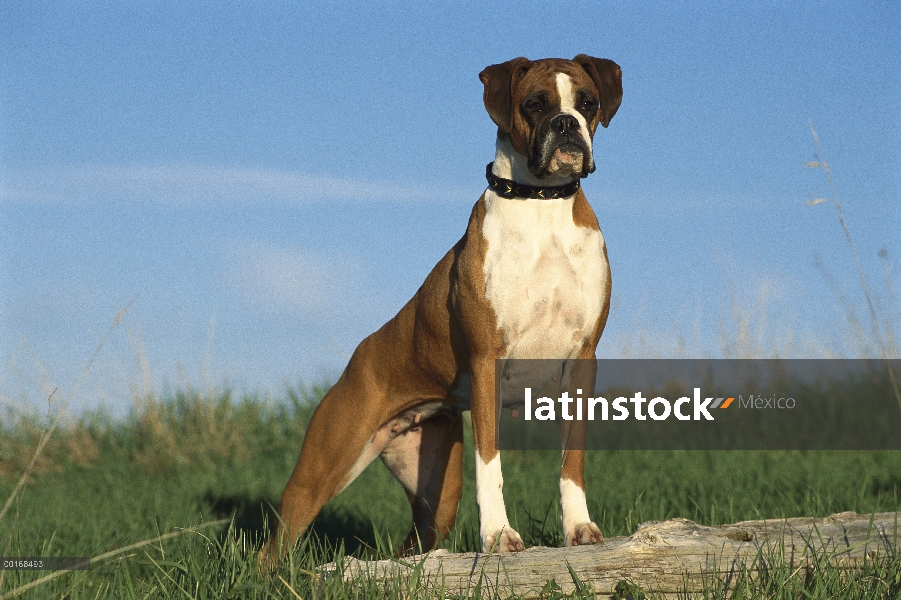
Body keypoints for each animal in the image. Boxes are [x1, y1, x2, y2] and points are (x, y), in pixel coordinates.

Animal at [264, 54, 624, 560]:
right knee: (273, 545)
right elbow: (490, 462)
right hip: (320, 470)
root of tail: (361, 355)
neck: (542, 204)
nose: (566, 124)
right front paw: (498, 536)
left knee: (416, 546)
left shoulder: (581, 360)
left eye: (587, 103)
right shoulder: (488, 359)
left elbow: (571, 460)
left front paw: (579, 528)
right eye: (534, 104)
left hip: (437, 491)